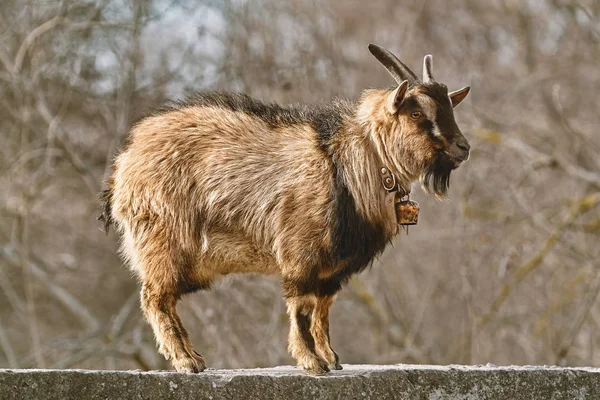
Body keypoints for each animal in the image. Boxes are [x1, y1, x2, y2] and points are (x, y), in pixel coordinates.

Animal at [99, 45, 474, 374]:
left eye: (450, 108)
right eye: (416, 112)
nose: (463, 147)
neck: (347, 162)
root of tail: (124, 163)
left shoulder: (333, 267)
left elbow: (323, 309)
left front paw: (331, 358)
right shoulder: (301, 252)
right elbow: (302, 308)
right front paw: (312, 363)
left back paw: (194, 357)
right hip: (162, 239)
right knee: (154, 297)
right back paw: (186, 361)